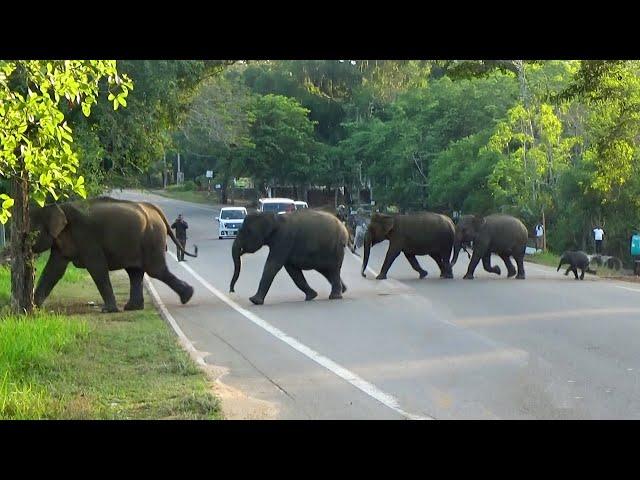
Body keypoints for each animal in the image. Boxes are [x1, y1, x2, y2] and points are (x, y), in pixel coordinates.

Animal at [29, 197, 198, 314]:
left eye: (32, 233)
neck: (59, 207)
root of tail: (154, 209)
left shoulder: (87, 237)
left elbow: (97, 268)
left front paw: (107, 310)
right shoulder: (62, 243)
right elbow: (54, 270)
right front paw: (33, 307)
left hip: (152, 237)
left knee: (155, 270)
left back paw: (187, 296)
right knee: (135, 272)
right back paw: (132, 307)